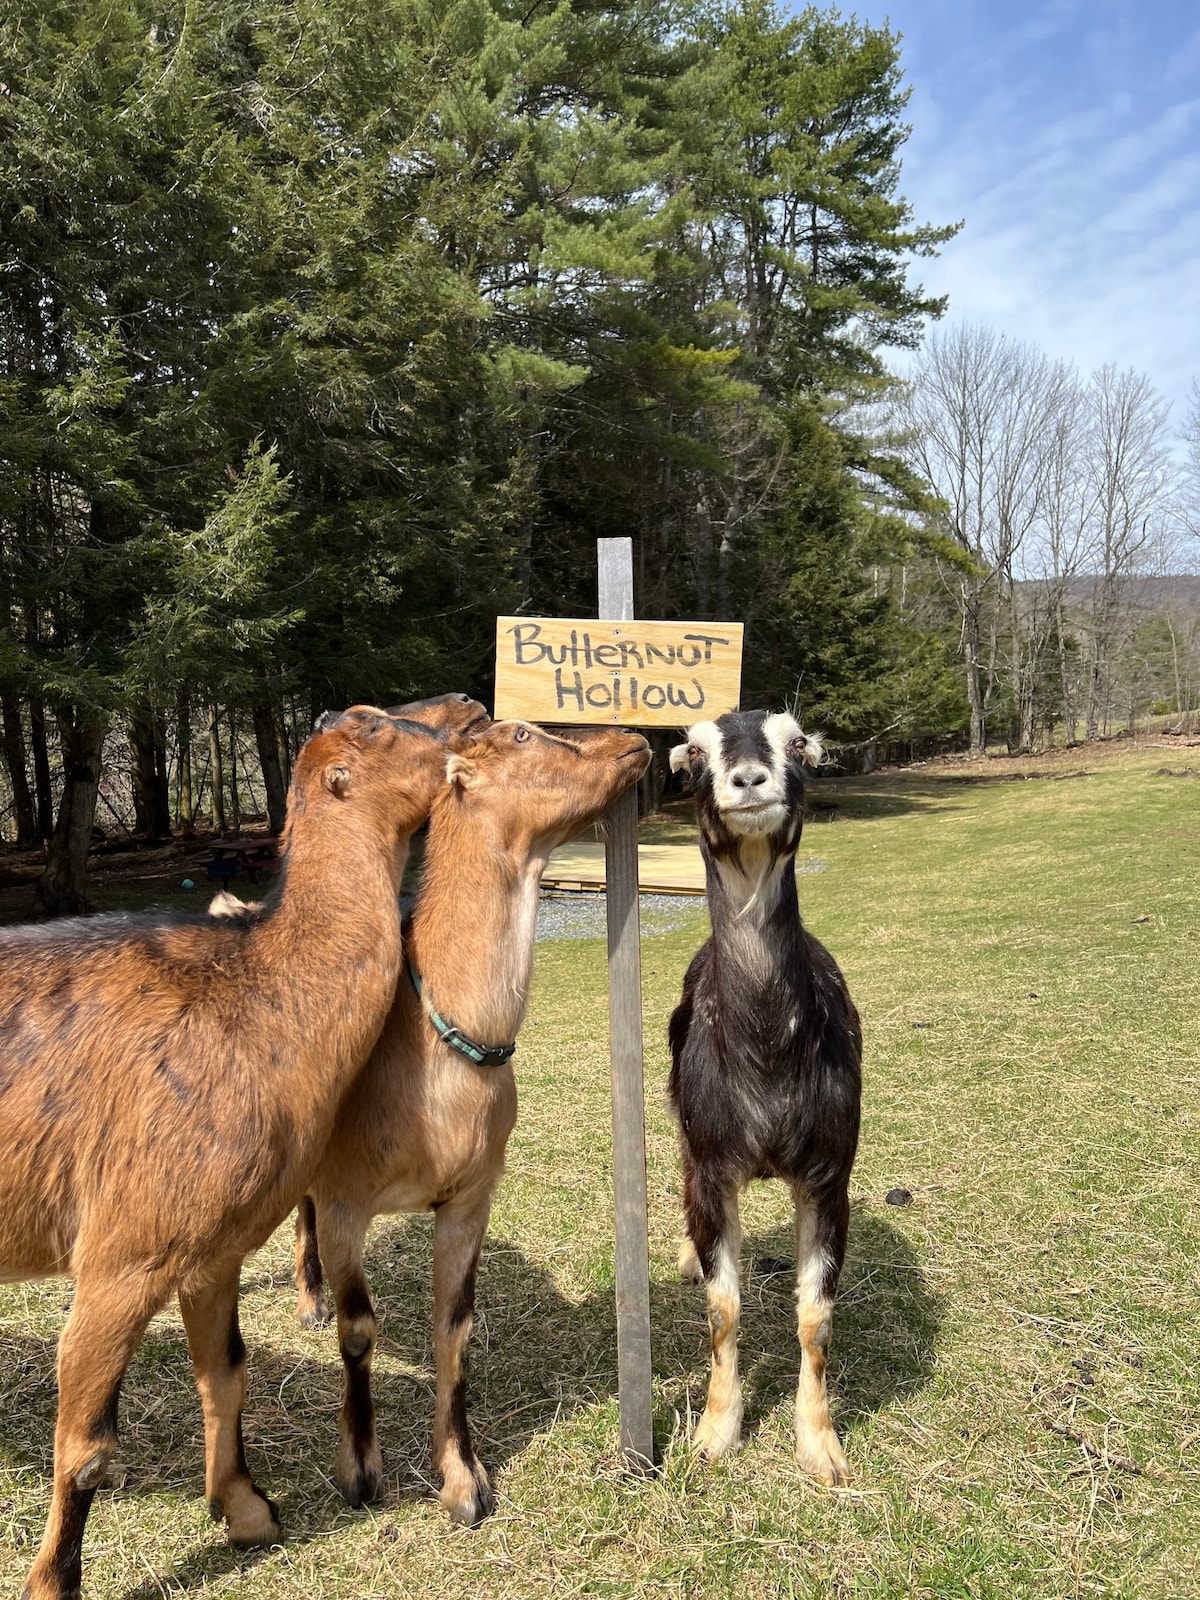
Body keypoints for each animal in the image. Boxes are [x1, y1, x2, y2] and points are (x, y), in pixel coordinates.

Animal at [0, 707, 464, 1600]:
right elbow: (86, 1449)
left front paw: (246, 1513)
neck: (255, 998)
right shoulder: (121, 1253)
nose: (471, 705)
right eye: (381, 726)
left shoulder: (212, 1248)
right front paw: (52, 1584)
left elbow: (228, 1372)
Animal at [294, 723, 649, 1523]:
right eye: (520, 732)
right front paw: (360, 1472)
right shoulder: (345, 1197)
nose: (633, 739)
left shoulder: (471, 1195)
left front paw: (463, 1482)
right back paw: (309, 1303)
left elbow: (453, 1327)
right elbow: (360, 1328)